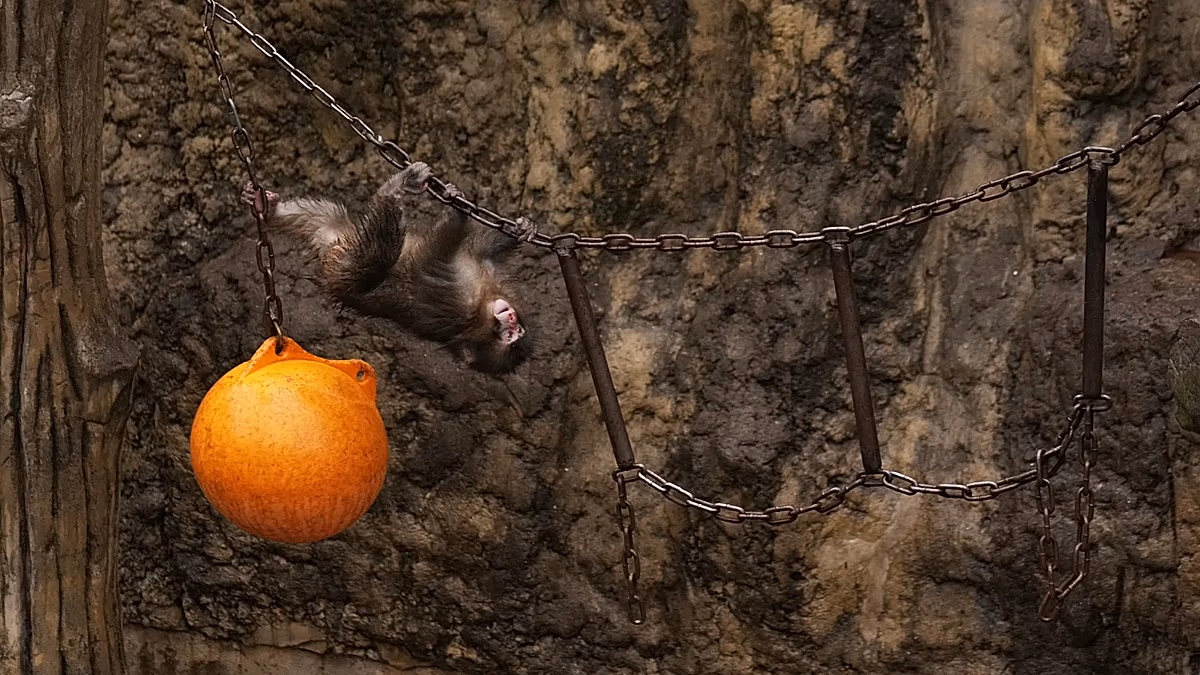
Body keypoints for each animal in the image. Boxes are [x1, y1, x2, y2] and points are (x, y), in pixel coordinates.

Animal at [241, 162, 533, 375]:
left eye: (510, 336)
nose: (512, 319)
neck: (484, 304)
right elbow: (484, 250)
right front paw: (521, 230)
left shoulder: (459, 303)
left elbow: (432, 258)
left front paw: (457, 215)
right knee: (326, 215)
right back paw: (268, 208)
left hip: (345, 267)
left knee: (378, 255)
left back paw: (393, 190)